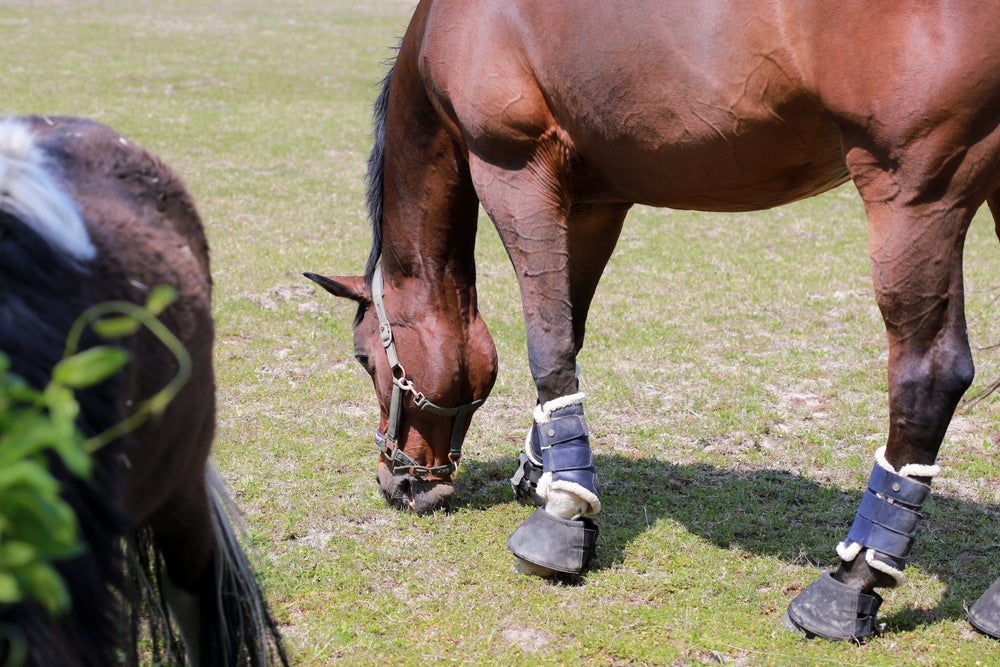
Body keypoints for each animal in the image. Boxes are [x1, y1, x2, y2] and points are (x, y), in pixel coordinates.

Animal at [305, 0, 1000, 642]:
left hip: (914, 190)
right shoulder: (595, 201)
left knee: (931, 374)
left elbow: (547, 341)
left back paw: (852, 582)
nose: (395, 481)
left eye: (365, 359)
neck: (452, 28)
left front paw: (562, 515)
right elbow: (569, 332)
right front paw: (543, 469)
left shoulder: (511, 169)